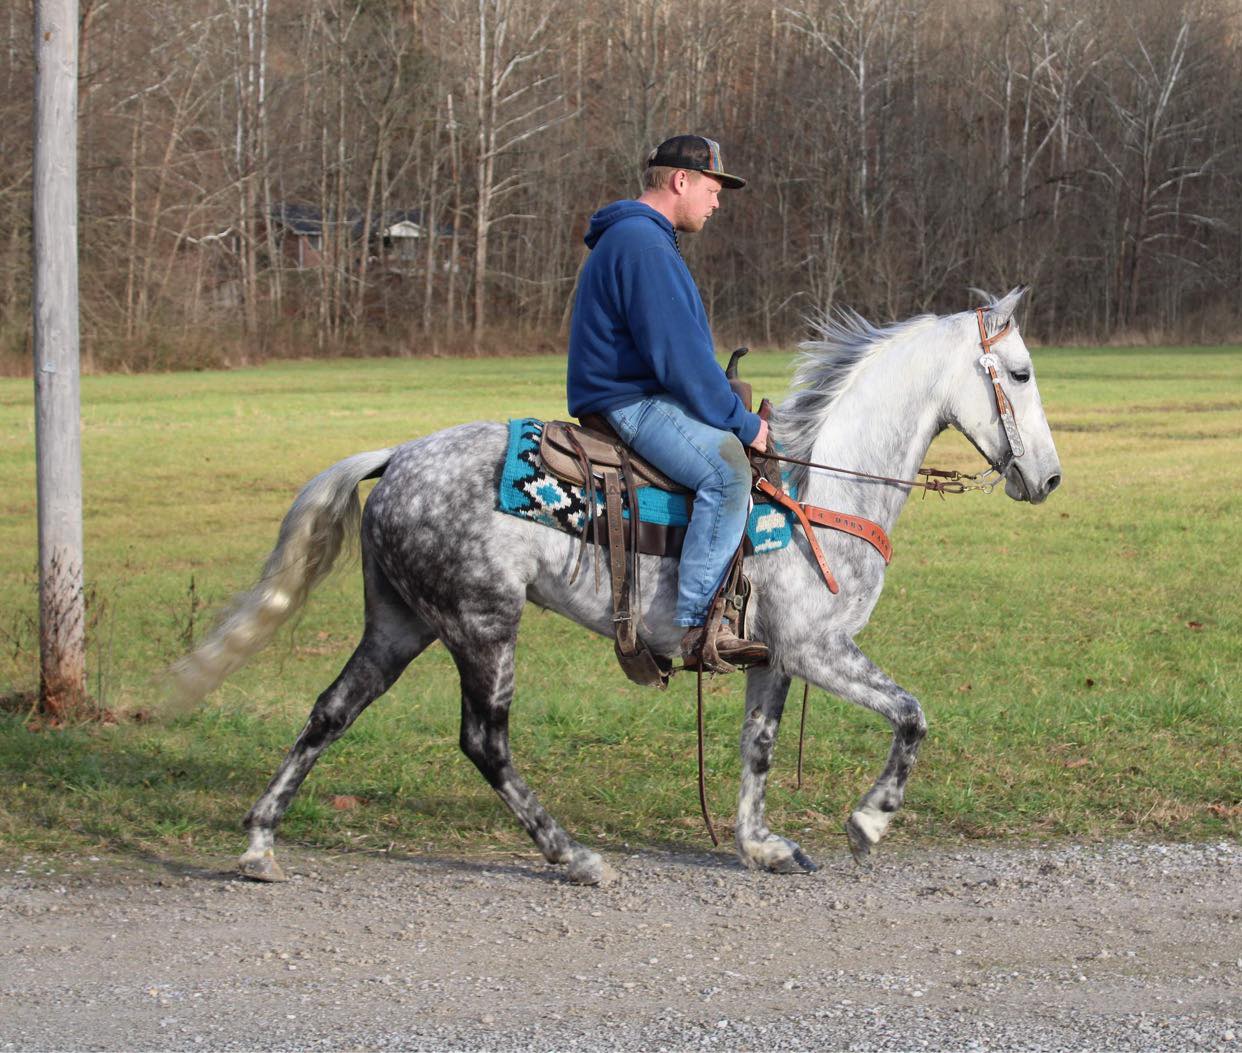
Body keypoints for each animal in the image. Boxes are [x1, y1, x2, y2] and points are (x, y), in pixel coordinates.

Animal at [171, 287, 1061, 885]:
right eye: (1018, 372)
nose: (1048, 478)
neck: (823, 486)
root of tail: (395, 458)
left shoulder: (775, 656)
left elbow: (759, 747)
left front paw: (760, 843)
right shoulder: (819, 648)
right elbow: (911, 714)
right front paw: (868, 821)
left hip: (400, 624)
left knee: (330, 710)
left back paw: (259, 843)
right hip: (482, 625)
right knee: (484, 742)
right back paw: (572, 855)